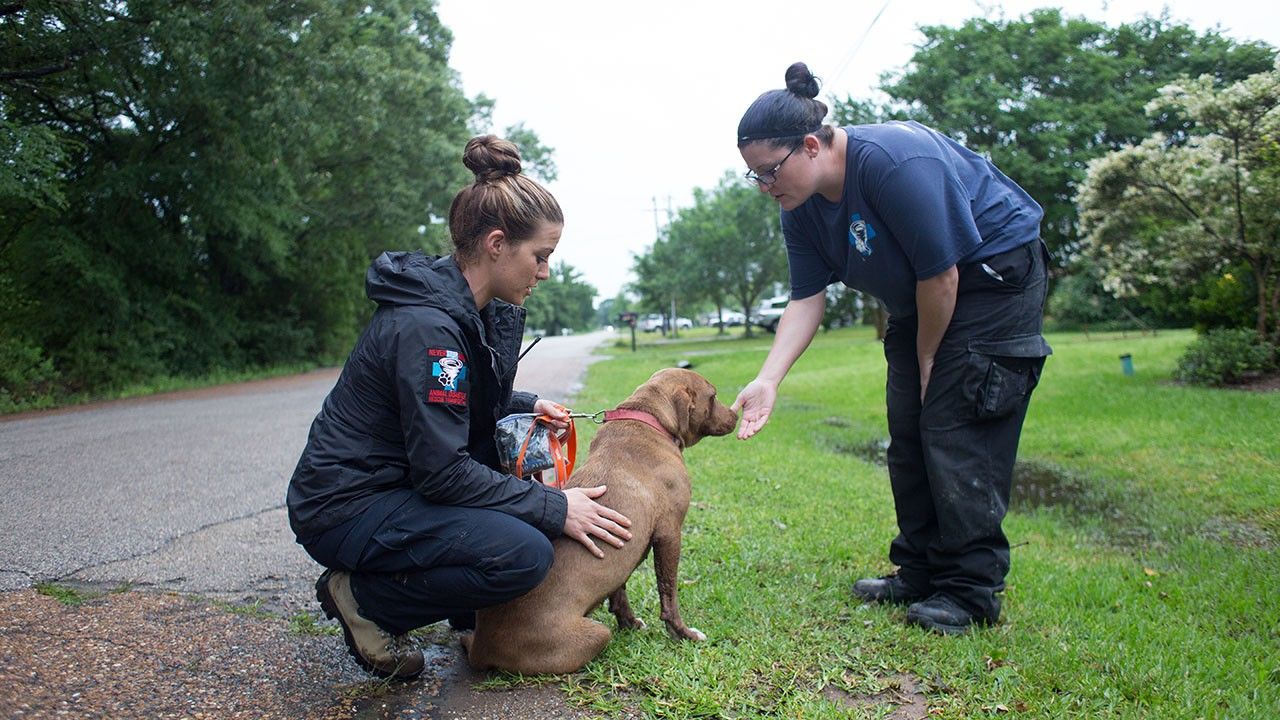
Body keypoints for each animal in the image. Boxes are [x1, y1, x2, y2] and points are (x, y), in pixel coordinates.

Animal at [460, 366, 742, 676]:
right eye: (713, 396)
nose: (736, 415)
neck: (649, 419)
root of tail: (481, 647)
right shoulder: (669, 534)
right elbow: (668, 594)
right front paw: (683, 634)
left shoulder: (623, 550)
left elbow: (619, 591)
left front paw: (629, 624)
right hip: (594, 634)